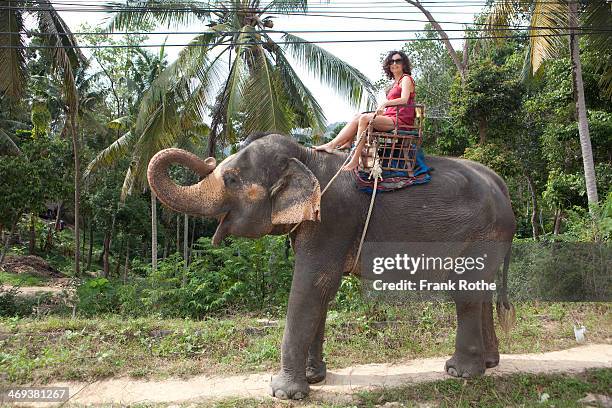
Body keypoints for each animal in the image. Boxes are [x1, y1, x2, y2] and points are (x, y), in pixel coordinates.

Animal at [148, 132, 516, 400]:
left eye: (233, 180)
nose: (209, 157)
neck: (307, 158)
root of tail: (503, 187)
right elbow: (322, 292)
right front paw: (314, 378)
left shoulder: (332, 222)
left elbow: (310, 286)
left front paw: (283, 392)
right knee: (480, 292)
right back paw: (488, 364)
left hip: (482, 235)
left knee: (465, 293)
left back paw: (460, 372)